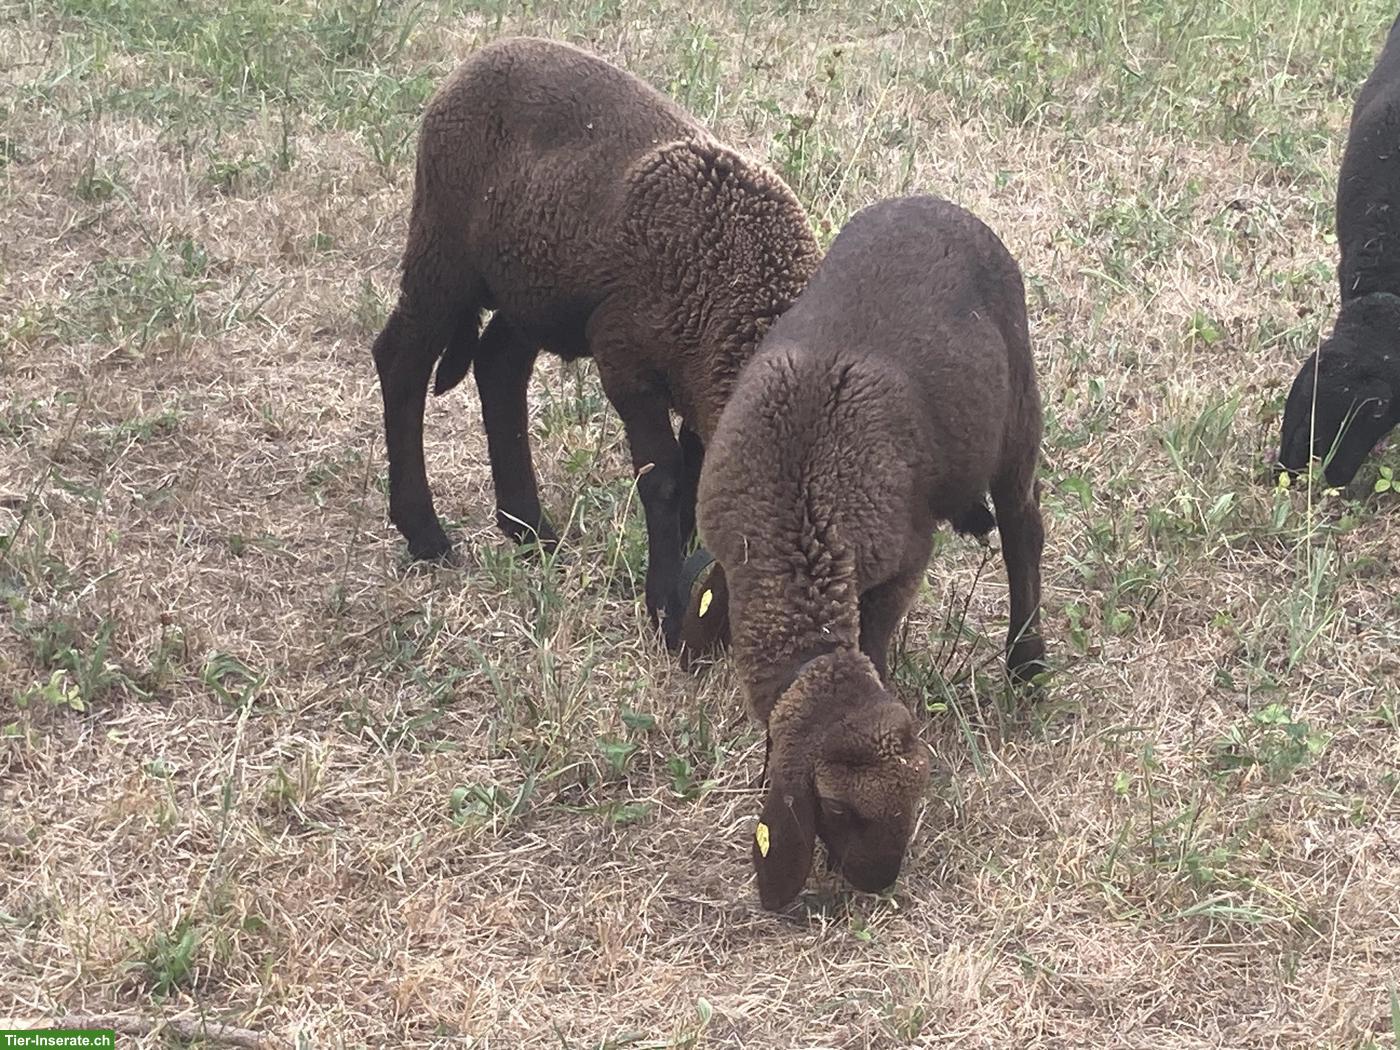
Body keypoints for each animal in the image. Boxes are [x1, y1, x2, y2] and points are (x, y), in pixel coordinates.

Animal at [371, 37, 820, 647]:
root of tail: (479, 60)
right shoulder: (626, 362)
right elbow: (664, 479)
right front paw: (663, 604)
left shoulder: (701, 387)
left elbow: (694, 473)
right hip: (444, 253)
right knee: (402, 360)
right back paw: (425, 533)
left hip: (532, 286)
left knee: (498, 366)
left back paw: (528, 527)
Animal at [696, 195, 1045, 909]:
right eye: (836, 808)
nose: (879, 883)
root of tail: (938, 202)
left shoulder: (901, 562)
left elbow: (879, 647)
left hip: (1018, 412)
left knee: (1025, 529)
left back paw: (1026, 660)